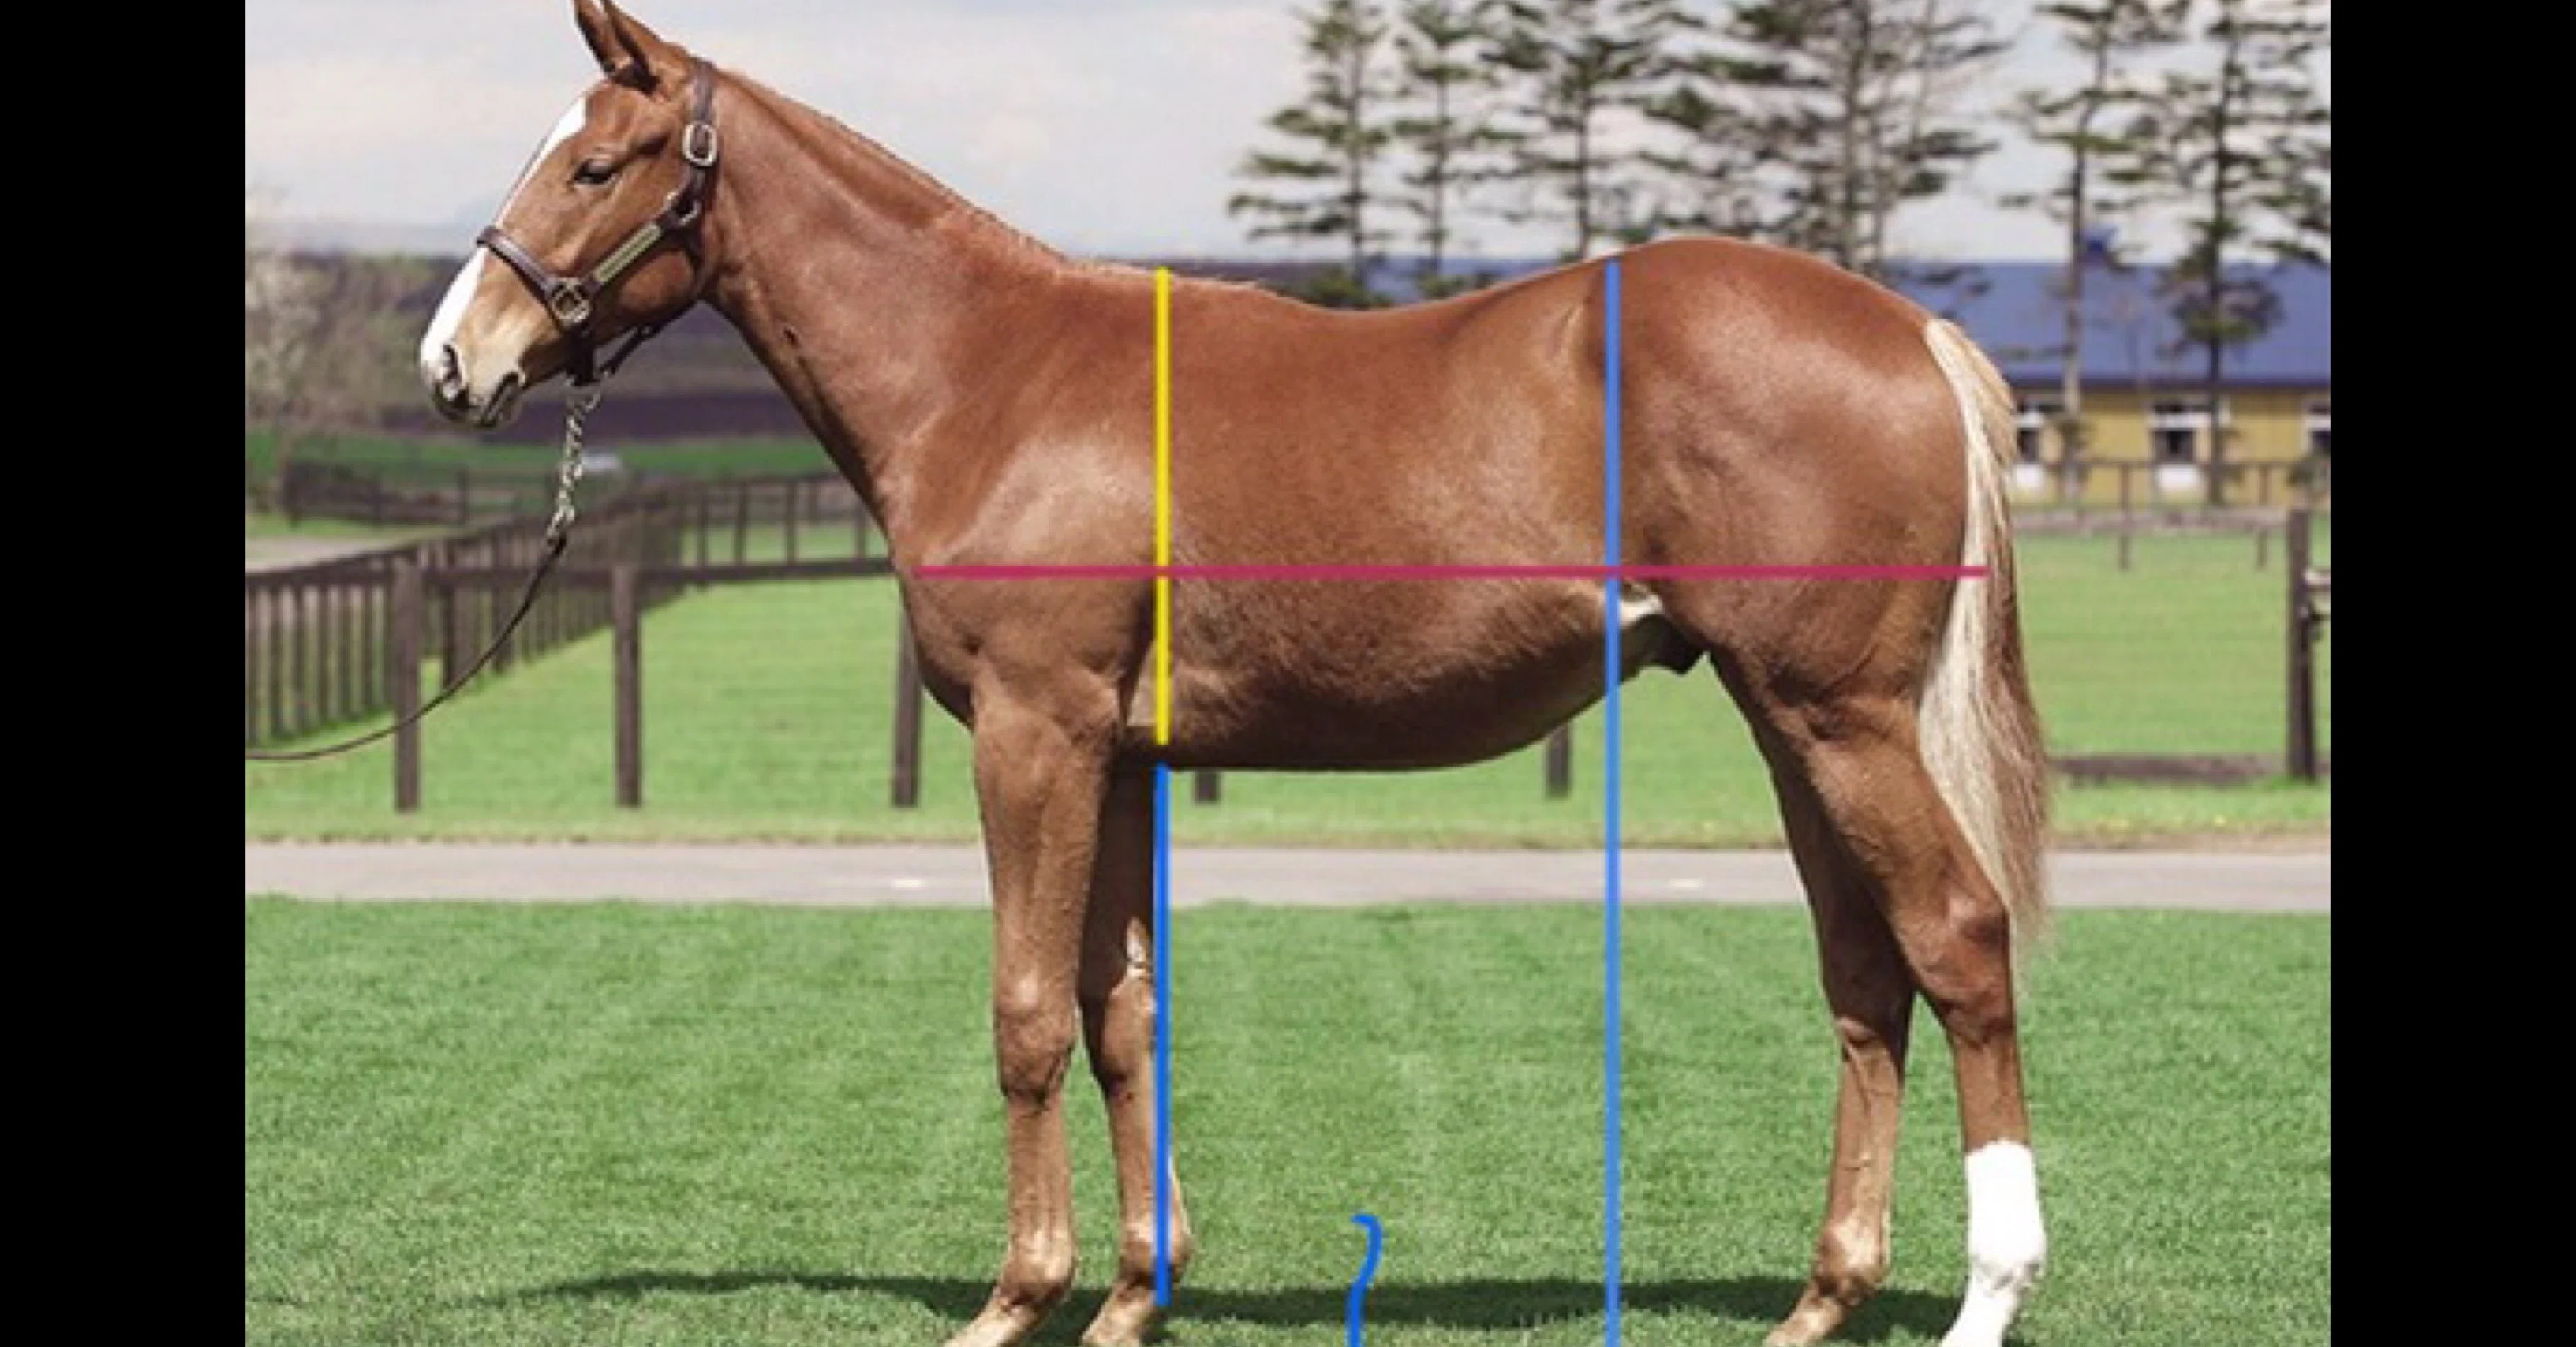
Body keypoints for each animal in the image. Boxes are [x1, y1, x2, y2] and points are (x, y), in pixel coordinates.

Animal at [418, 5, 2053, 1346]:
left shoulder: (1033, 733)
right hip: (1791, 725)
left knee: (1959, 939)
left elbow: (1026, 1007)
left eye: (592, 167)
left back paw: (1987, 1293)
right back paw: (1822, 1295)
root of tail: (1915, 331)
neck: (987, 374)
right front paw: (1135, 1290)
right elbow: (1121, 1010)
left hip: (1842, 724)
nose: (452, 360)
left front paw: (1018, 1296)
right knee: (1866, 975)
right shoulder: (1120, 755)